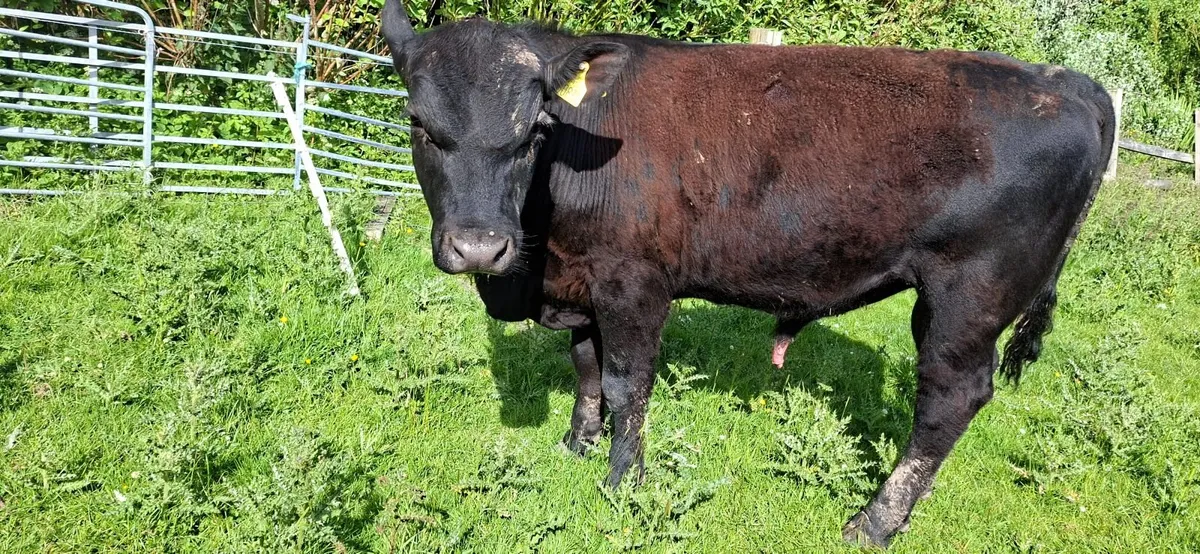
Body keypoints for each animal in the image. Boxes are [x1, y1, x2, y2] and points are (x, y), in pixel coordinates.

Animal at [380, 0, 1115, 546]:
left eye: (533, 129)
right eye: (419, 124)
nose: (480, 247)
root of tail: (1063, 81)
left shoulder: (634, 282)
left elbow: (625, 384)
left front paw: (622, 482)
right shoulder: (579, 282)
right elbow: (585, 368)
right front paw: (576, 445)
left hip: (968, 296)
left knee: (949, 400)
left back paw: (874, 521)